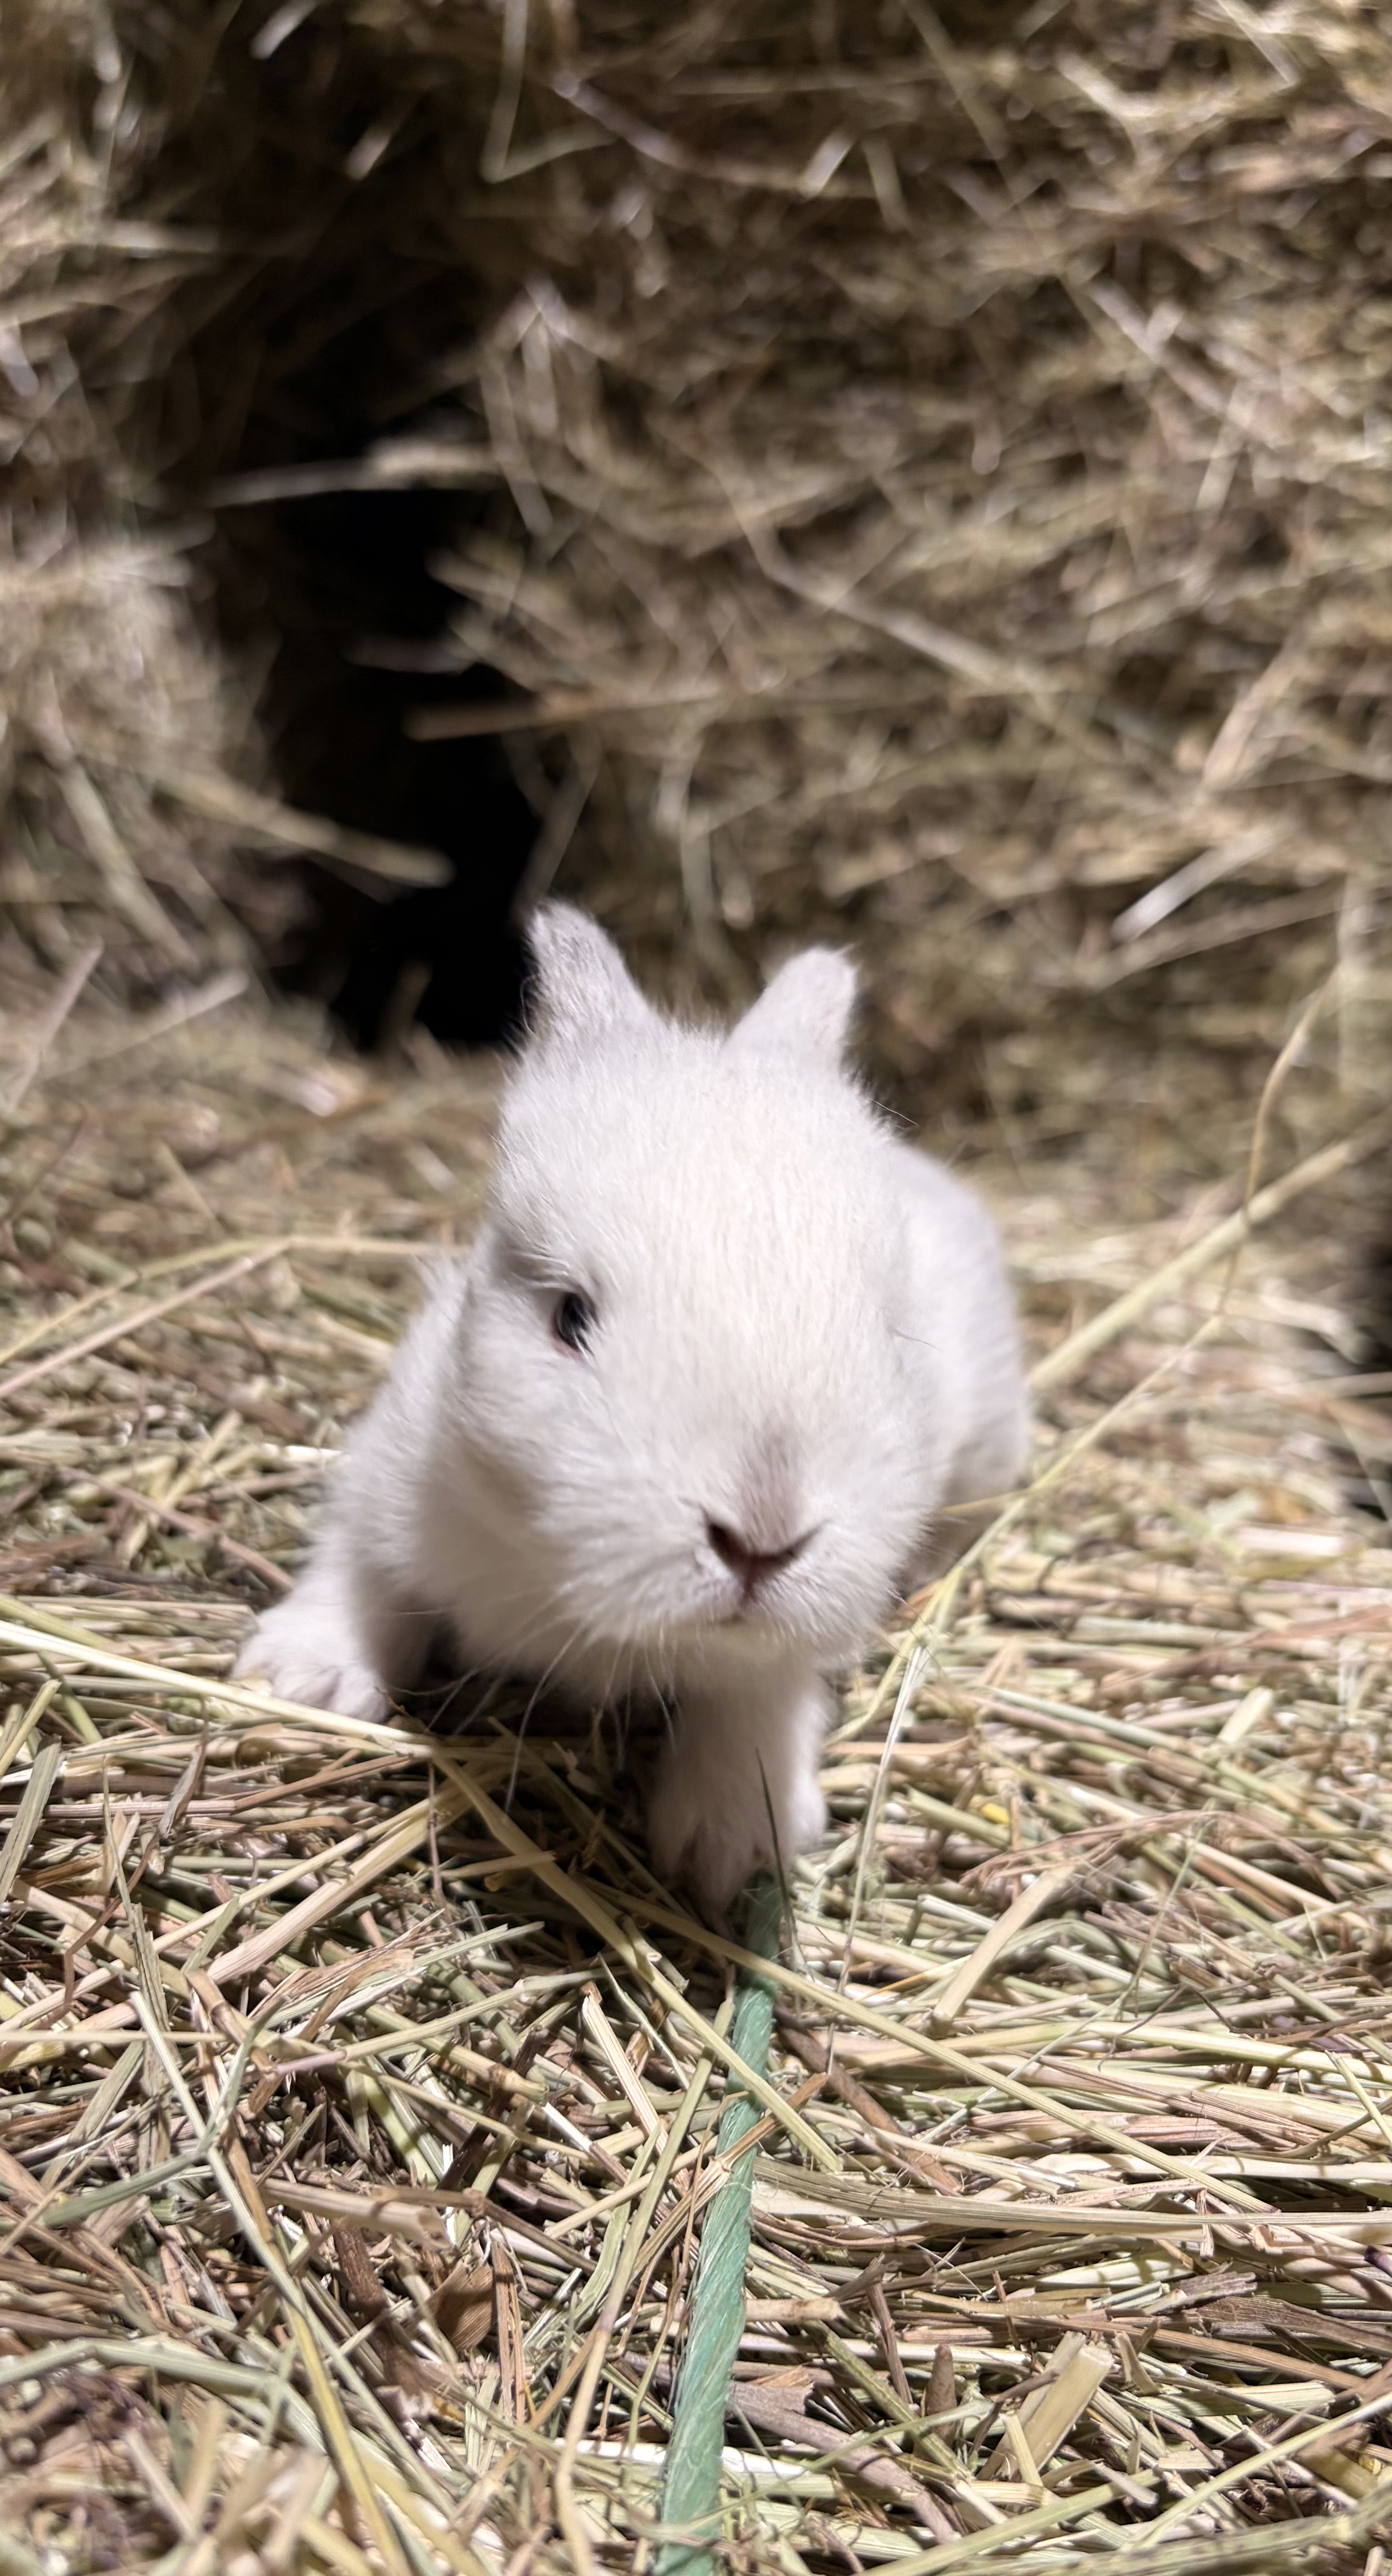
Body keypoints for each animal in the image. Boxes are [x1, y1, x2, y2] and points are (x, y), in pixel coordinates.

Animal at [235, 903, 1029, 1911]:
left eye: (888, 1332)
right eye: (569, 1316)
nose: (761, 1541)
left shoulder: (784, 1656)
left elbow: (758, 1702)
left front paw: (729, 1844)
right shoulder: (390, 1470)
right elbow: (358, 1572)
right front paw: (298, 1679)